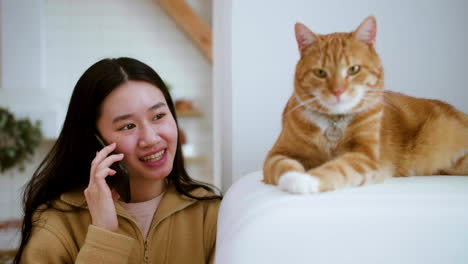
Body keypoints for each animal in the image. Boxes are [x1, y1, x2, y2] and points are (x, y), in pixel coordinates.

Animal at [264, 17, 468, 194]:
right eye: (320, 73)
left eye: (354, 69)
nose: (337, 91)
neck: (334, 122)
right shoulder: (276, 154)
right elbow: (283, 165)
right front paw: (294, 176)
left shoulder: (365, 157)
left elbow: (338, 167)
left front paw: (306, 180)